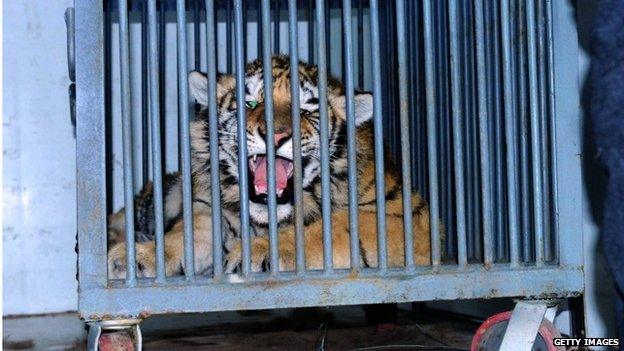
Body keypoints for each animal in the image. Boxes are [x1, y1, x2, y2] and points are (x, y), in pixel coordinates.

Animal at [107, 55, 432, 280]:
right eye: (249, 103)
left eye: (306, 110)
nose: (275, 136)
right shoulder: (208, 209)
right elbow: (185, 234)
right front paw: (137, 257)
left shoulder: (408, 218)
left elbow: (332, 227)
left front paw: (258, 252)